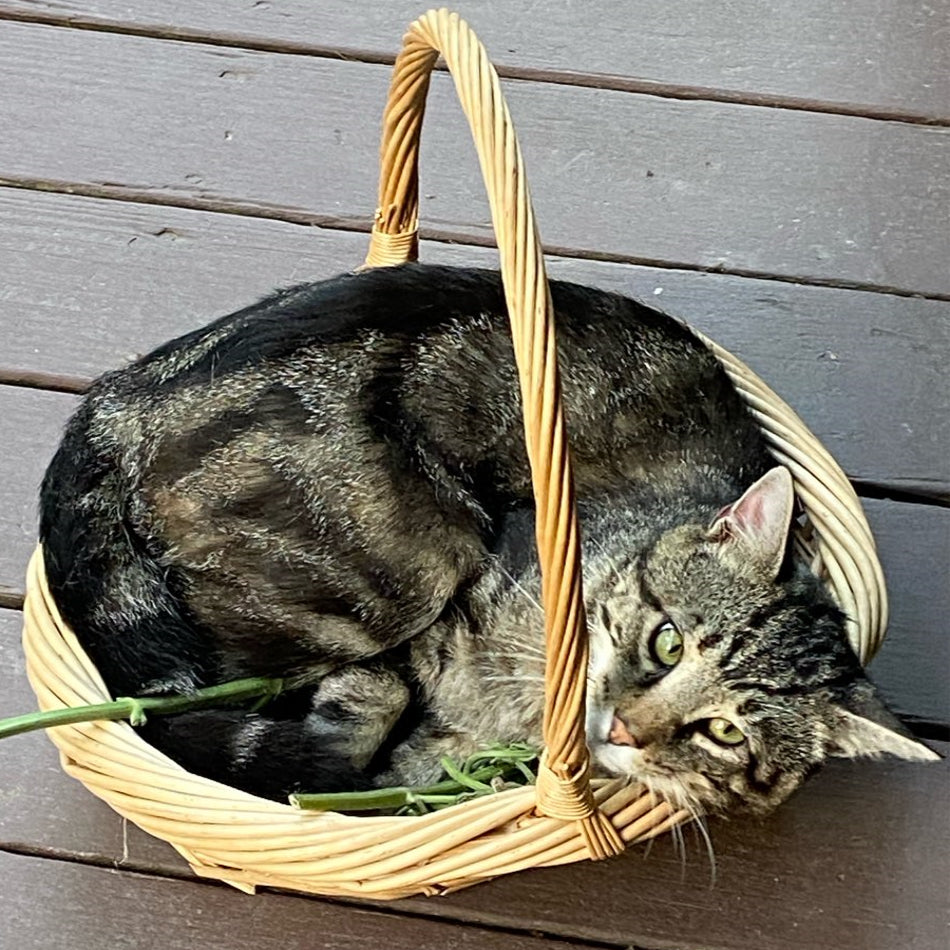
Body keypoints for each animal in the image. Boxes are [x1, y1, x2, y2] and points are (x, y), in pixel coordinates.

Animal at [39, 264, 936, 816]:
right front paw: (344, 752)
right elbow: (379, 705)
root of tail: (121, 392)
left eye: (724, 733)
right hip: (402, 572)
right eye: (669, 642)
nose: (623, 728)